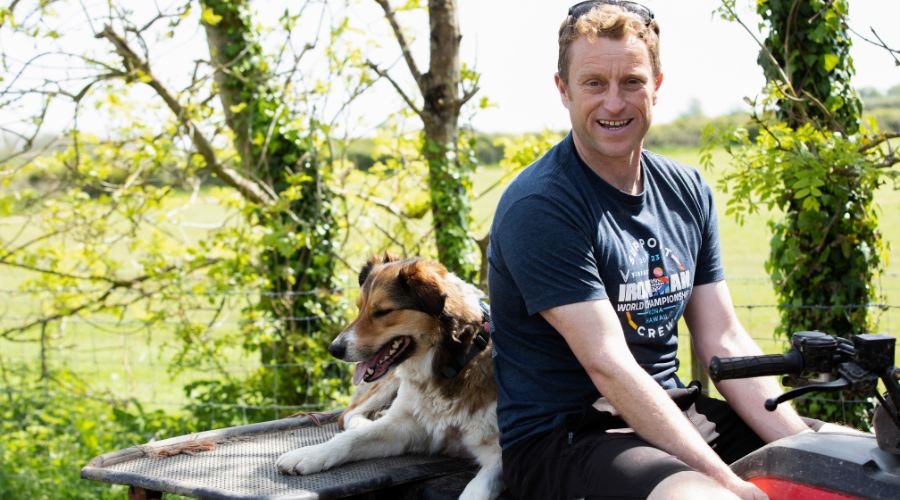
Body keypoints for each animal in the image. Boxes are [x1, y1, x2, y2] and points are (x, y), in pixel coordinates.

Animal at [276, 256, 500, 498]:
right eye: (359, 308)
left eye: (383, 311)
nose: (334, 349)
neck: (451, 365)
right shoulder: (406, 429)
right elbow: (349, 439)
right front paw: (309, 454)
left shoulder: (499, 454)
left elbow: (476, 489)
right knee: (348, 414)